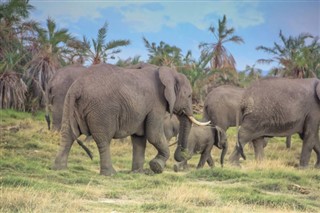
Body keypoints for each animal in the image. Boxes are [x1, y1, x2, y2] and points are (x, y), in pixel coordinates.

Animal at [52, 64, 210, 176]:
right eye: (189, 96)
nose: (183, 154)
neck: (168, 72)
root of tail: (77, 87)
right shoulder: (156, 105)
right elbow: (154, 135)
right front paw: (156, 167)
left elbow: (139, 139)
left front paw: (138, 173)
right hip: (102, 110)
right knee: (103, 140)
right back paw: (110, 174)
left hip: (69, 103)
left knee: (67, 135)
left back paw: (60, 169)